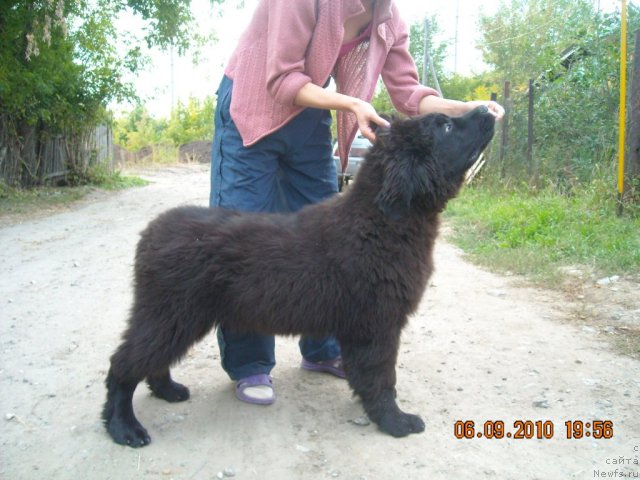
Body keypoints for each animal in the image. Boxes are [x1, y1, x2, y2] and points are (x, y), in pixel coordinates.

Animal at [104, 105, 496, 446]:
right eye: (446, 127)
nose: (487, 110)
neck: (381, 223)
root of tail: (150, 233)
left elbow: (372, 376)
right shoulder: (377, 324)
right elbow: (382, 377)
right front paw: (394, 421)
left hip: (174, 317)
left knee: (149, 358)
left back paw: (167, 391)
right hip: (171, 313)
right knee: (124, 365)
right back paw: (124, 428)